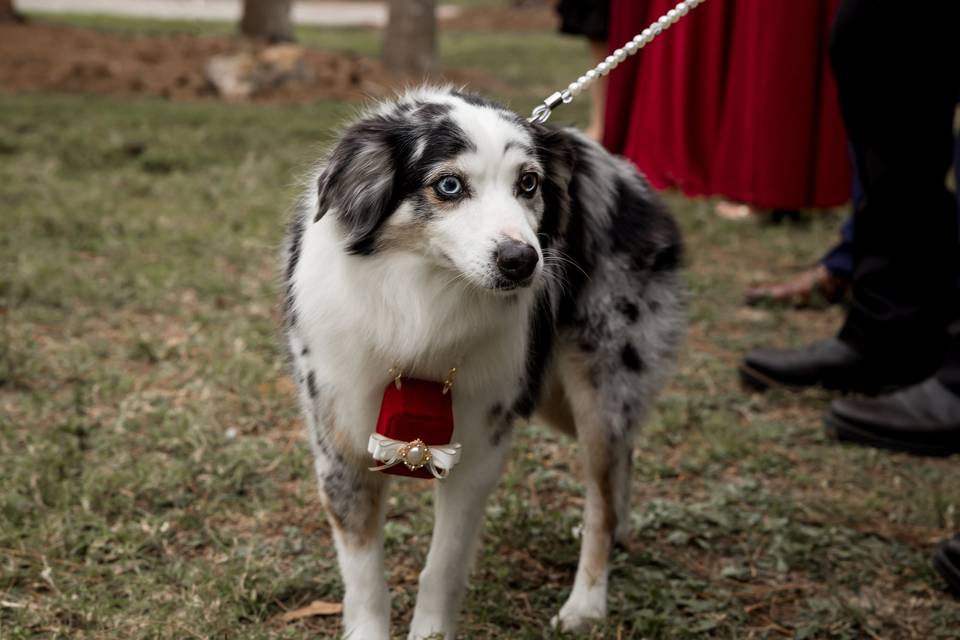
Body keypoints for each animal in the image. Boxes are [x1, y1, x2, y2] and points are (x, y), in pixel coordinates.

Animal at [282, 86, 688, 640]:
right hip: (557, 397)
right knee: (624, 458)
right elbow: (365, 579)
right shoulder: (339, 440)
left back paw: (587, 600)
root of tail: (638, 183)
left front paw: (431, 632)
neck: (422, 307)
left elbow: (444, 564)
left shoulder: (478, 447)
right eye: (449, 186)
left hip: (600, 385)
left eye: (528, 183)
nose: (522, 261)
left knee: (603, 489)